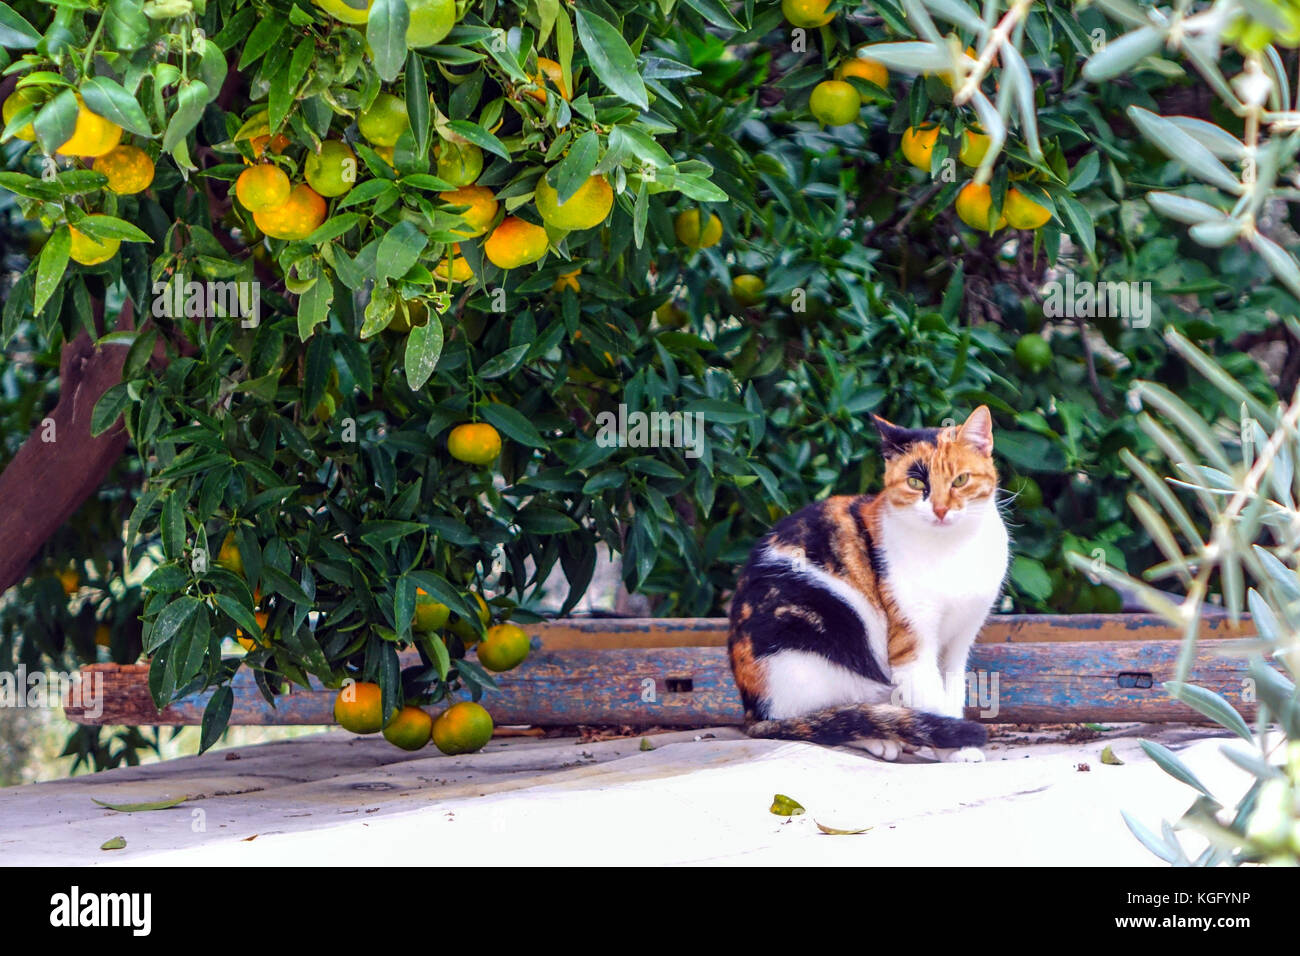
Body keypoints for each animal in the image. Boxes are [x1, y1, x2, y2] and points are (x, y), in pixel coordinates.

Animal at [728, 403, 1008, 764]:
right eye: (915, 482)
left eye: (960, 480)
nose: (940, 509)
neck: (952, 548)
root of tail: (751, 713)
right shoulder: (910, 642)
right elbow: (931, 698)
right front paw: (955, 747)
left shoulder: (960, 641)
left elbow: (952, 694)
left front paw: (957, 743)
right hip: (812, 642)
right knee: (825, 720)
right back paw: (881, 737)